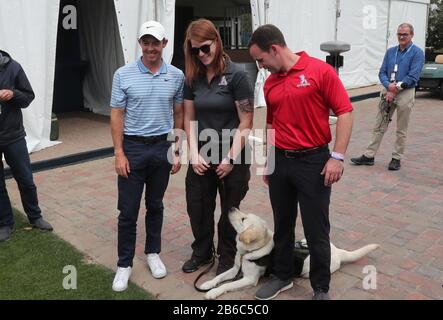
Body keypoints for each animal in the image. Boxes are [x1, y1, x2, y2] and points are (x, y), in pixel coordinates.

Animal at [199, 208, 380, 300]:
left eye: (243, 219)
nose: (230, 207)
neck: (248, 252)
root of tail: (338, 251)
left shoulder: (249, 279)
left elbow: (226, 285)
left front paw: (213, 293)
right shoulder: (235, 268)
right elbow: (220, 277)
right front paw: (207, 284)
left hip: (310, 270)